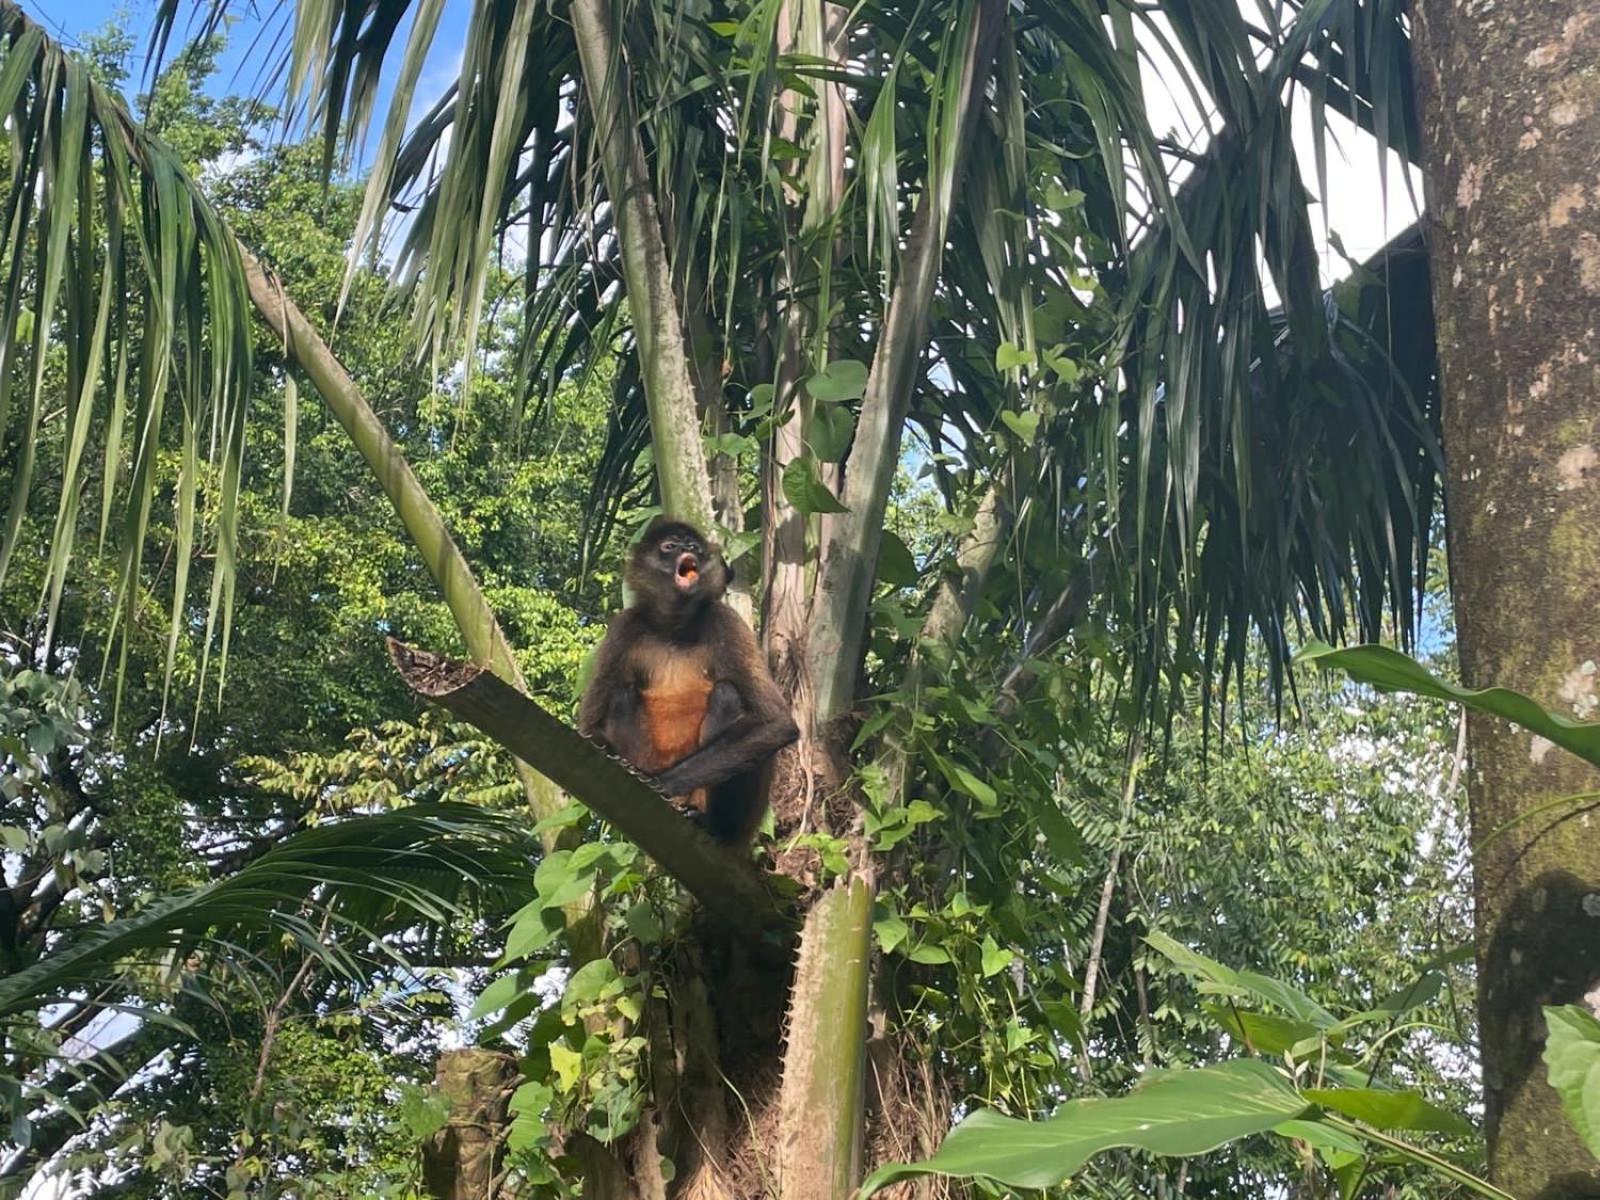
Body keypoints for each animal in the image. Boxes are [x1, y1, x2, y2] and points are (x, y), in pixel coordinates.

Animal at [579, 518, 796, 844]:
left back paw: (713, 825)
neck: (674, 626)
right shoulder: (624, 629)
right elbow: (589, 729)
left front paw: (659, 784)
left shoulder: (725, 619)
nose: (686, 549)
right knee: (621, 694)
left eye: (693, 546)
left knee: (727, 694)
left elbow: (777, 723)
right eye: (669, 546)